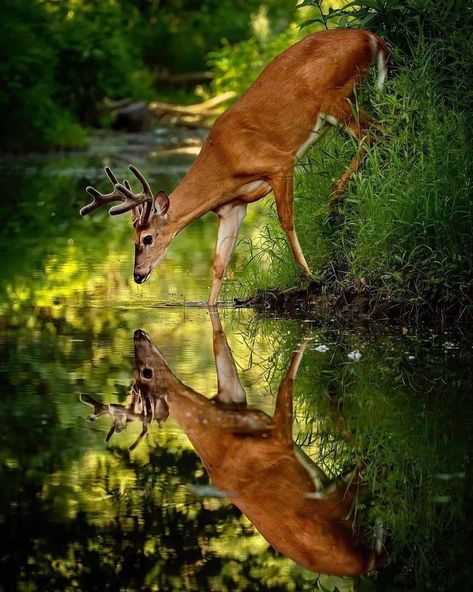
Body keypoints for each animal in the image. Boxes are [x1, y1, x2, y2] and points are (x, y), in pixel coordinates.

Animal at [79, 27, 386, 306]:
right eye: (134, 240)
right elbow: (218, 264)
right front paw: (211, 306)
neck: (224, 165)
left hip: (337, 98)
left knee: (375, 132)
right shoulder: (232, 207)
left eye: (147, 239)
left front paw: (311, 277)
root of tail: (372, 37)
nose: (138, 275)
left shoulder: (280, 163)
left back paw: (333, 198)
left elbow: (286, 221)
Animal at [81, 310, 384, 572]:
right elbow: (289, 379)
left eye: (142, 373)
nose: (138, 334)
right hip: (340, 507)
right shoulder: (277, 439)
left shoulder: (238, 401)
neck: (219, 434)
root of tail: (364, 563)